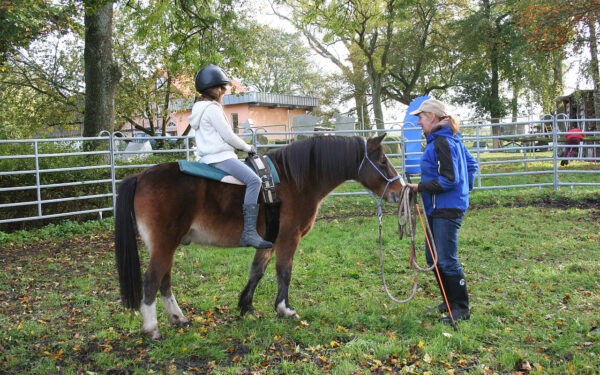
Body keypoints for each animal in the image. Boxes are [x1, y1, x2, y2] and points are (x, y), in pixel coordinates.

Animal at [112, 134, 404, 340]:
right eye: (382, 161)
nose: (399, 192)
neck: (294, 180)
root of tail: (140, 176)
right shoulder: (288, 239)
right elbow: (284, 272)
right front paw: (284, 309)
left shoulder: (268, 241)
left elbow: (257, 271)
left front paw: (246, 306)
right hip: (164, 246)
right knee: (152, 280)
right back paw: (152, 327)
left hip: (168, 246)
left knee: (164, 281)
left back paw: (177, 318)